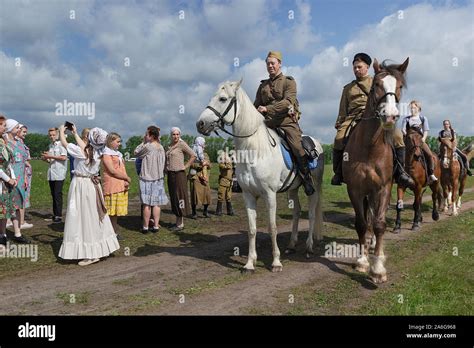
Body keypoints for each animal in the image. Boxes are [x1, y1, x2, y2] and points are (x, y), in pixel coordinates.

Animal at [194, 80, 324, 274]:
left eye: (223, 98)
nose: (200, 124)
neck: (254, 150)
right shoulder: (248, 195)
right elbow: (252, 229)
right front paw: (249, 263)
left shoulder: (269, 194)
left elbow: (272, 227)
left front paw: (276, 262)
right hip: (292, 189)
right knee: (296, 212)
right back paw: (291, 245)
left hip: (313, 187)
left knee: (311, 213)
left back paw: (308, 247)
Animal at [342, 58, 410, 284]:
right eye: (376, 86)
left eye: (399, 86)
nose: (390, 116)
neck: (370, 147)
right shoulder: (355, 189)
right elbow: (362, 224)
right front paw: (363, 261)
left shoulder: (383, 188)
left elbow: (379, 224)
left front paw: (378, 268)